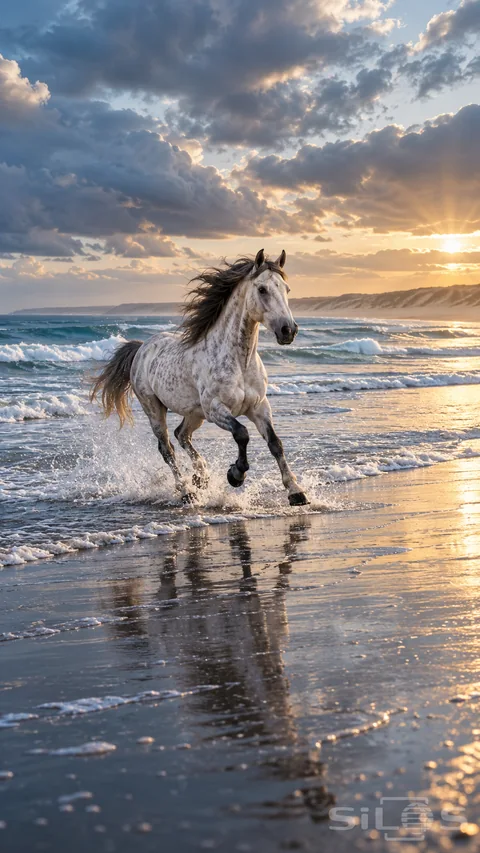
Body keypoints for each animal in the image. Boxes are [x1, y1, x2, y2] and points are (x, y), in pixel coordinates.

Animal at [90, 249, 308, 506]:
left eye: (287, 289)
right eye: (262, 289)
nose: (288, 330)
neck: (240, 362)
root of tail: (142, 347)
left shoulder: (259, 407)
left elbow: (275, 444)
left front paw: (296, 492)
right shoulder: (216, 409)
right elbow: (241, 434)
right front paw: (235, 474)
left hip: (195, 413)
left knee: (182, 435)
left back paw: (201, 477)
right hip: (155, 409)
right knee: (167, 449)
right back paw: (187, 491)